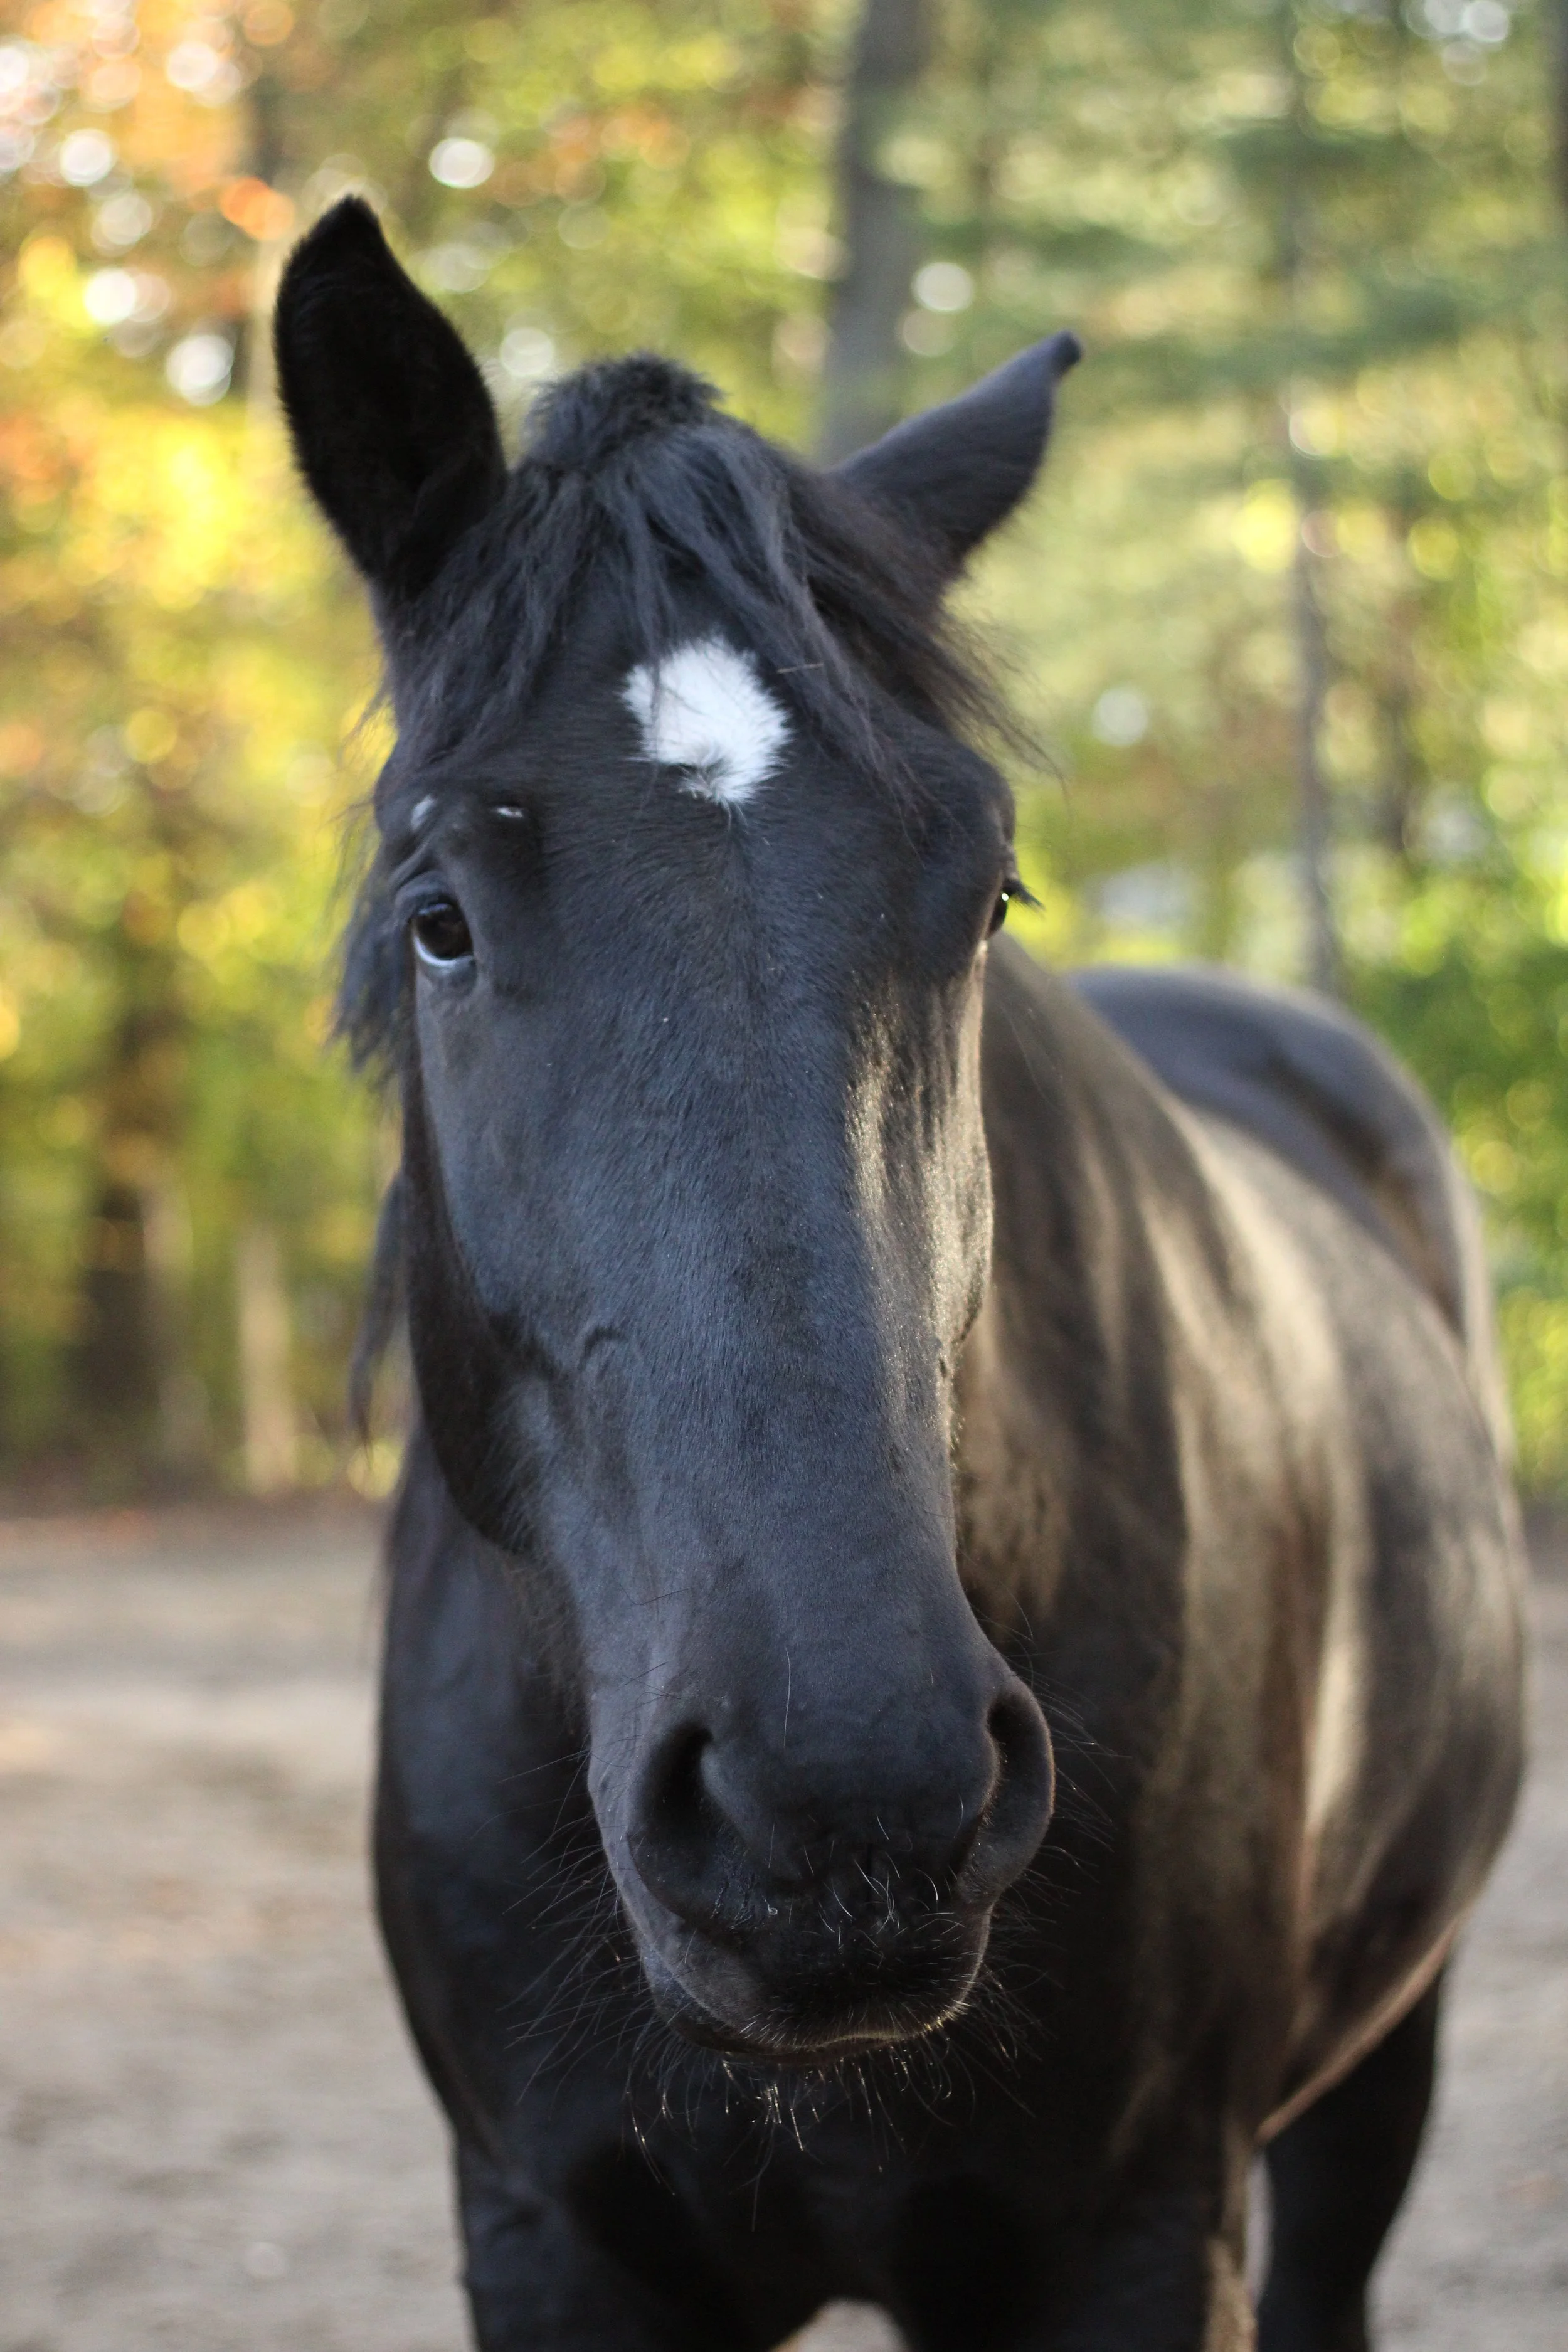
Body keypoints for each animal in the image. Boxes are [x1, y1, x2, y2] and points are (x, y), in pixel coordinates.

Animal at [274, 196, 1525, 2351]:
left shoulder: (1139, 2234)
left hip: (1379, 2058)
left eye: (983, 892)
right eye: (439, 917)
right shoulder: (546, 2234)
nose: (840, 1800)